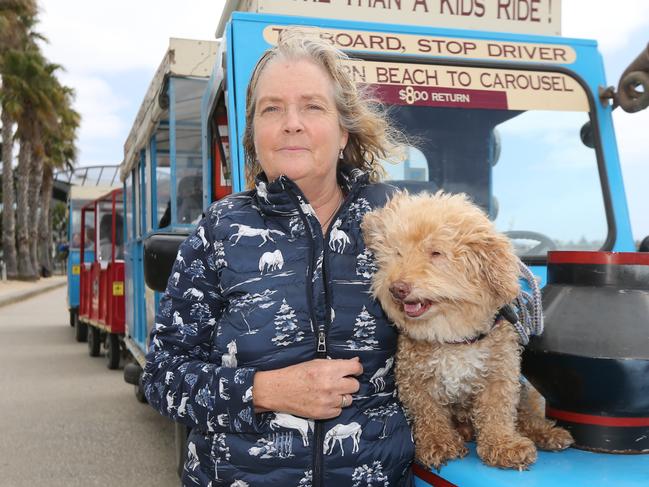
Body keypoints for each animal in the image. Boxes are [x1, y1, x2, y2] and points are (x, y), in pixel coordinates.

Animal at [360, 193, 572, 470]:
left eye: (436, 253)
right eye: (397, 252)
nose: (397, 288)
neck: (452, 335)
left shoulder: (500, 374)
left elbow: (497, 412)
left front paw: (503, 445)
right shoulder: (413, 380)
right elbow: (429, 414)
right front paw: (438, 443)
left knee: (526, 414)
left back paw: (547, 433)